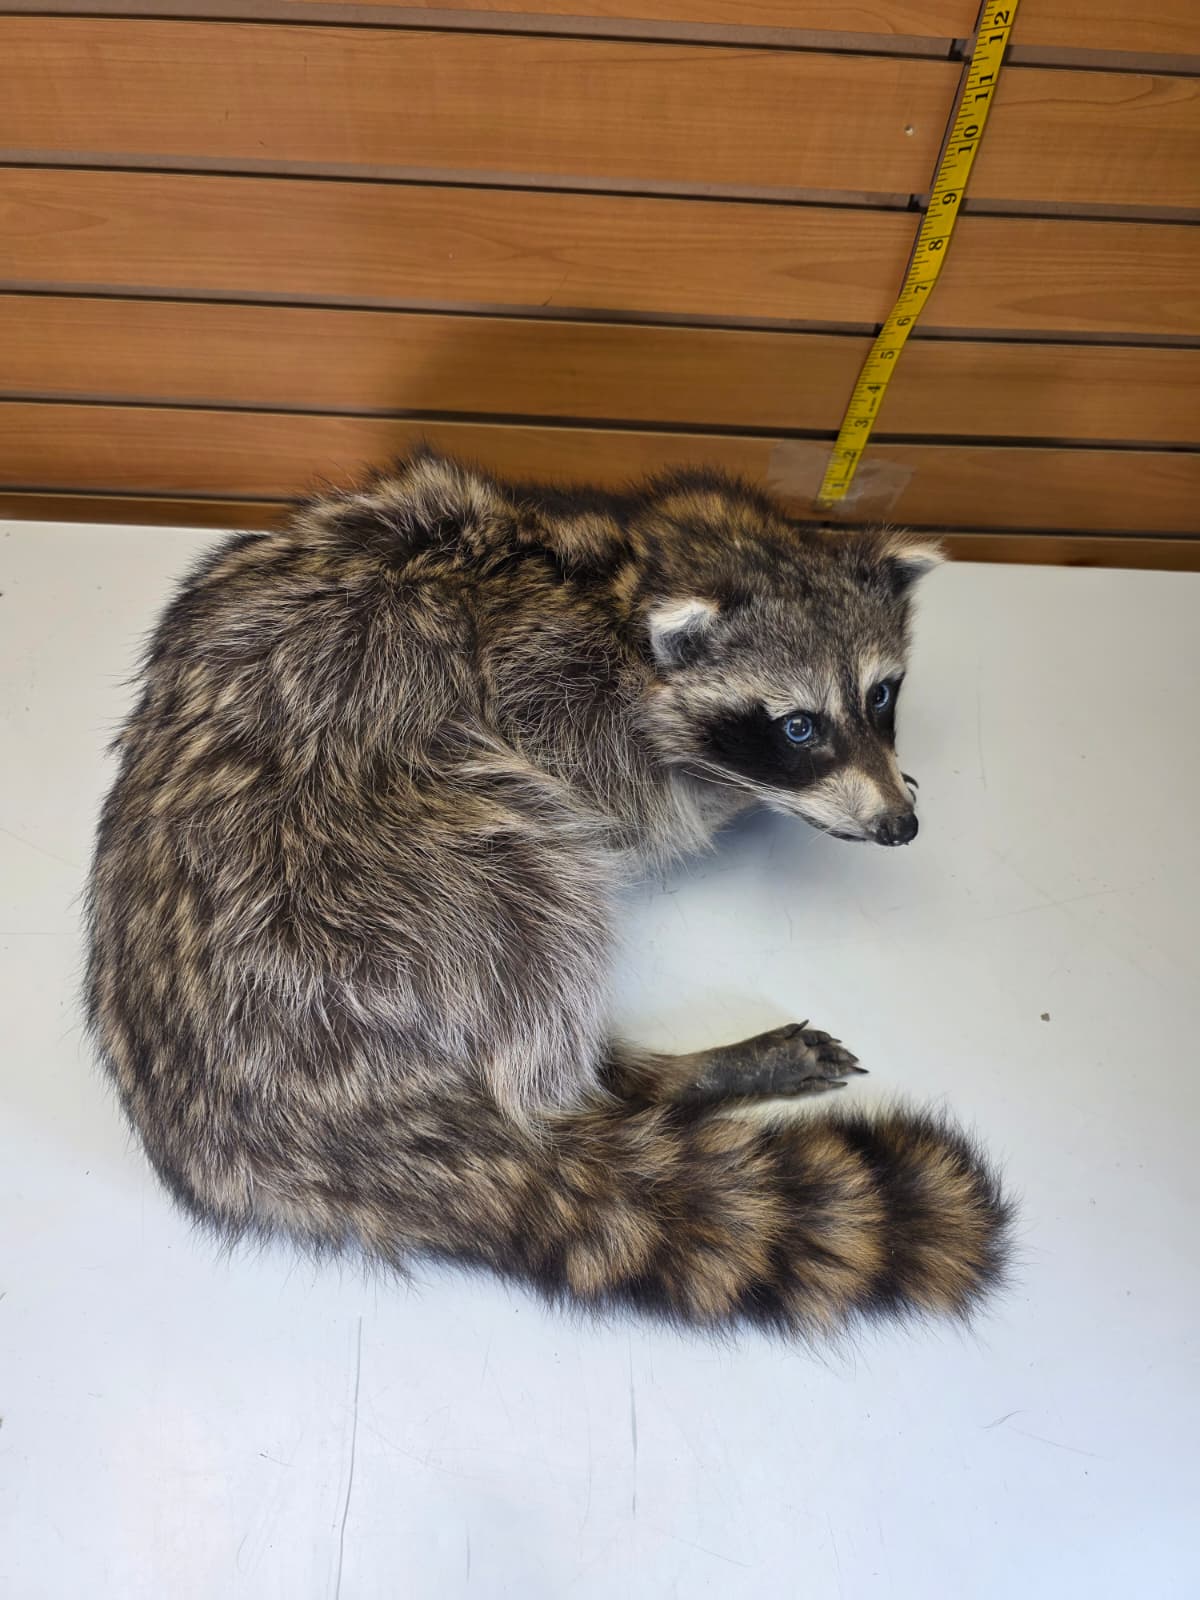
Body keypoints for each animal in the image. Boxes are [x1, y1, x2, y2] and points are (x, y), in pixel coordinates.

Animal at [85, 450, 1010, 1336]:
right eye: (797, 727)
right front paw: (739, 797)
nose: (898, 828)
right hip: (378, 885)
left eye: (880, 695)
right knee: (539, 906)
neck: (631, 572)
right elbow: (643, 813)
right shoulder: (552, 693)